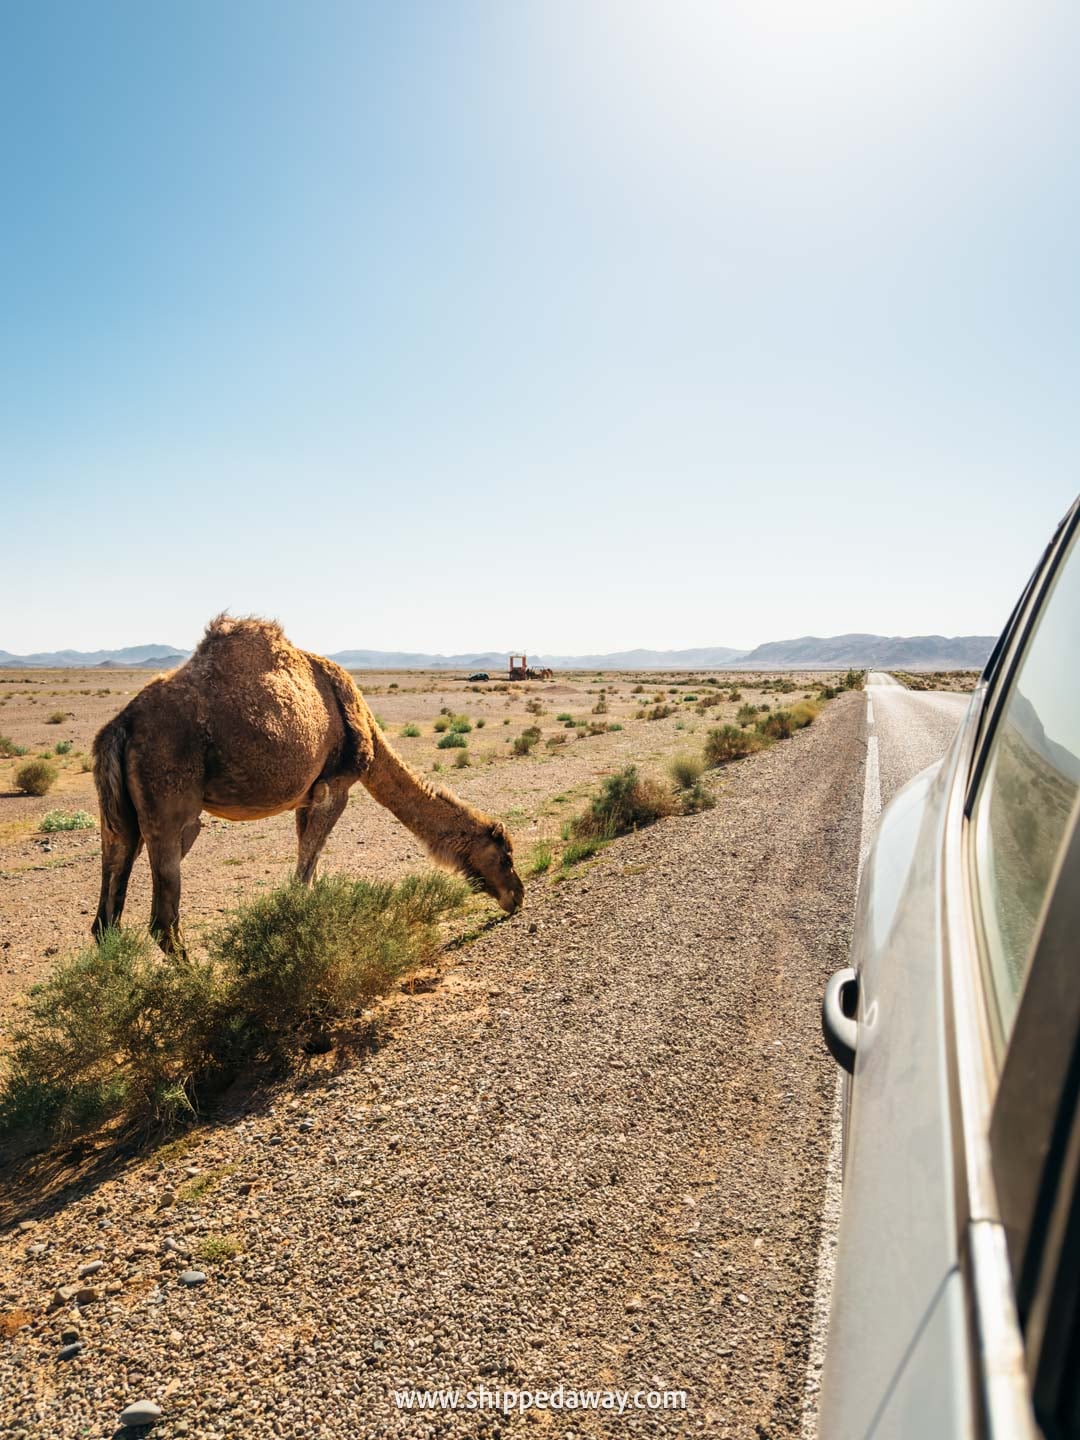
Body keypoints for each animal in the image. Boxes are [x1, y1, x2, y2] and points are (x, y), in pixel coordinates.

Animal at [91, 616, 524, 953]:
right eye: (505, 856)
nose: (517, 896)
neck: (365, 726)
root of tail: (121, 725)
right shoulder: (335, 786)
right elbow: (305, 874)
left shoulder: (305, 796)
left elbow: (307, 868)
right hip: (172, 806)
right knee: (163, 919)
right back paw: (201, 985)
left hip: (120, 816)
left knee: (107, 912)